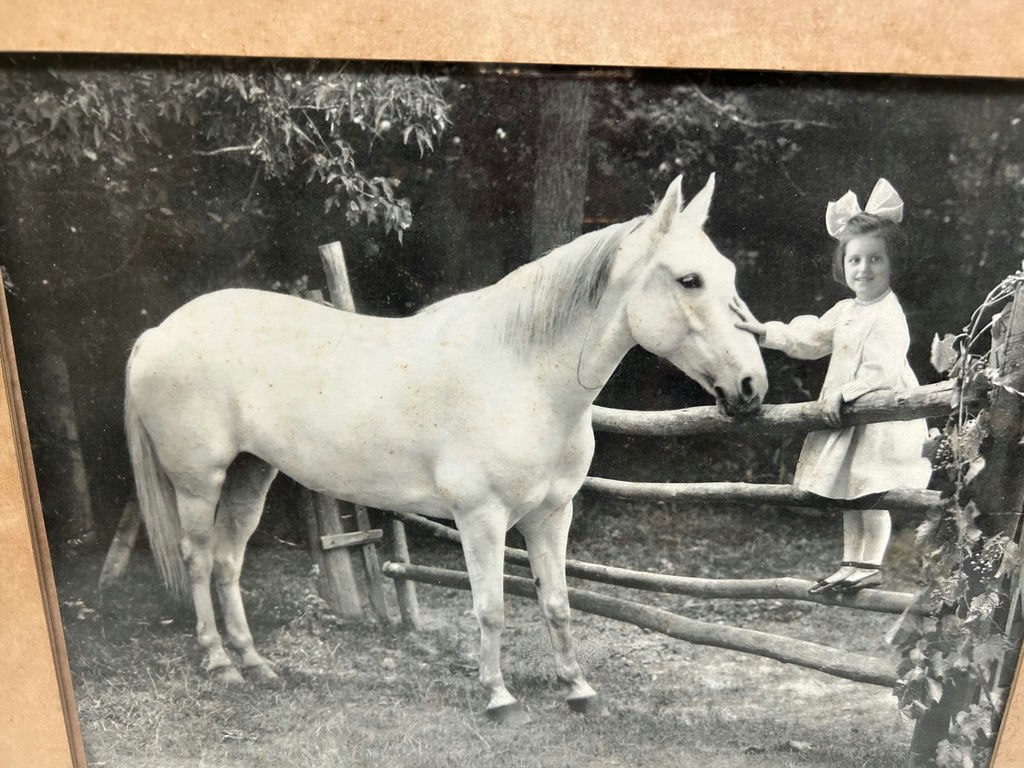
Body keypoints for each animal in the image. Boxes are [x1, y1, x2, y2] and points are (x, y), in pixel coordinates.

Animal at [124, 173, 767, 723]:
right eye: (689, 280)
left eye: (730, 273)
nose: (751, 387)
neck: (522, 373)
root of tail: (158, 332)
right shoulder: (481, 519)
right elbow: (491, 608)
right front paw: (499, 697)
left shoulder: (552, 515)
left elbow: (557, 602)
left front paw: (577, 688)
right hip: (199, 481)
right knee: (198, 558)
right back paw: (220, 664)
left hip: (251, 475)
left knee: (229, 562)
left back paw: (255, 664)